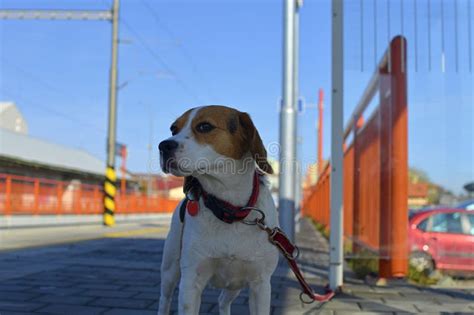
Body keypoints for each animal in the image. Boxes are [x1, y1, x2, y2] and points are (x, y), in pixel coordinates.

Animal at [157, 107, 280, 315]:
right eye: (173, 129)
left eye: (205, 126)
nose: (163, 145)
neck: (229, 210)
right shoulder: (191, 282)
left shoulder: (261, 284)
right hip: (169, 271)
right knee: (164, 299)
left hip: (235, 285)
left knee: (223, 301)